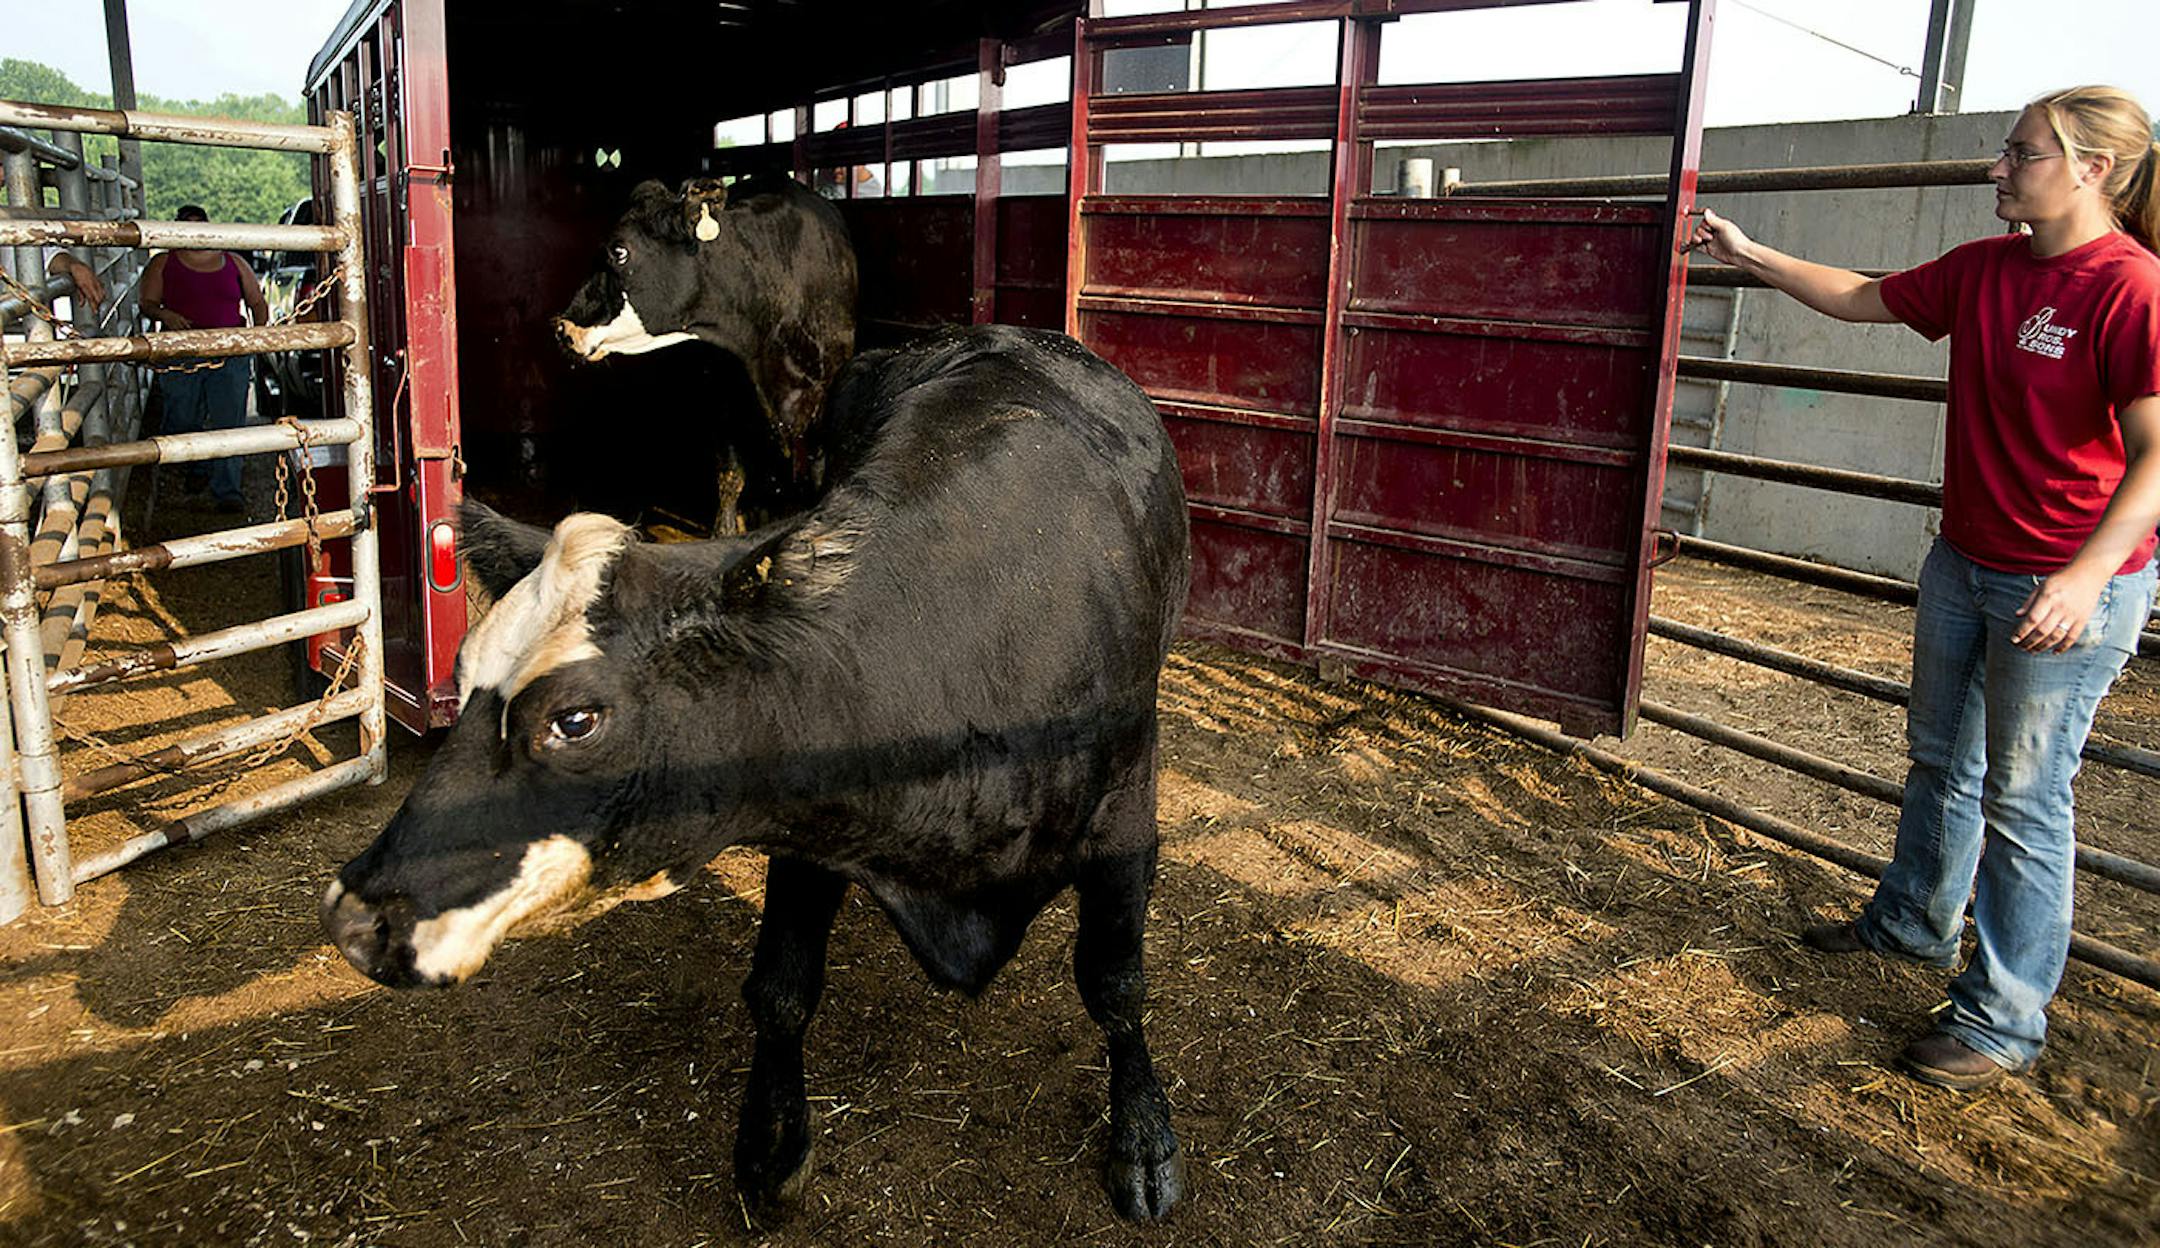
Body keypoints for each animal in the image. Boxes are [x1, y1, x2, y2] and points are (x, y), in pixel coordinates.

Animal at [322, 325, 1192, 1221]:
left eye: (576, 719)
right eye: (461, 676)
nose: (358, 918)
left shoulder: (1126, 813)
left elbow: (1116, 984)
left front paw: (1143, 1139)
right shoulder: (812, 809)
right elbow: (780, 988)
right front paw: (772, 1148)